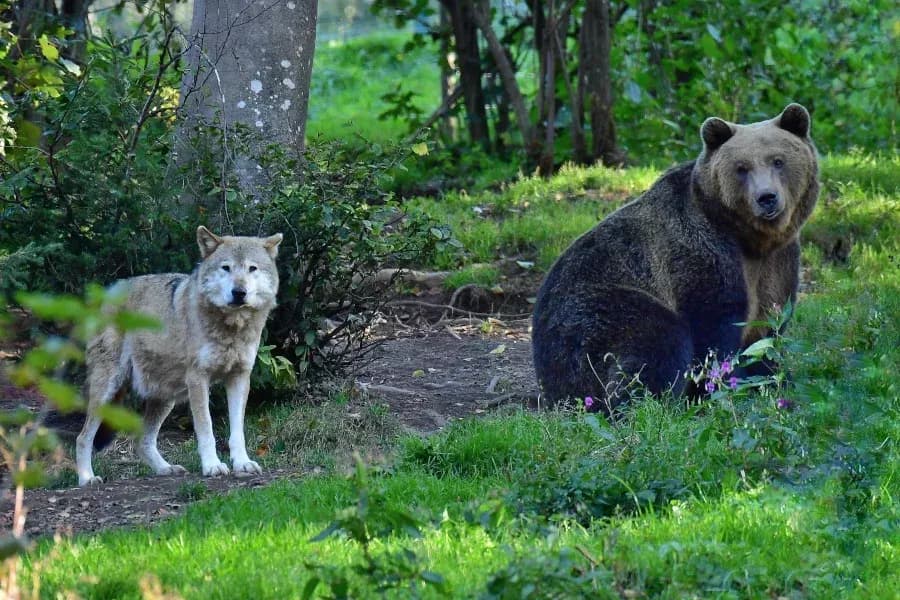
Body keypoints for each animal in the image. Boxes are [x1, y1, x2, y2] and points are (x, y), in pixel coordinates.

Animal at [75, 226, 283, 486]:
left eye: (251, 268)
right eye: (226, 268)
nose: (239, 292)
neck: (231, 328)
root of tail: (105, 292)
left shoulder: (239, 378)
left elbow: (238, 432)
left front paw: (242, 463)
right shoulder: (198, 379)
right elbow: (206, 429)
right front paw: (212, 466)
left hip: (165, 397)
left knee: (142, 441)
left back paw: (165, 469)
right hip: (108, 389)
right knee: (83, 438)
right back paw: (86, 478)